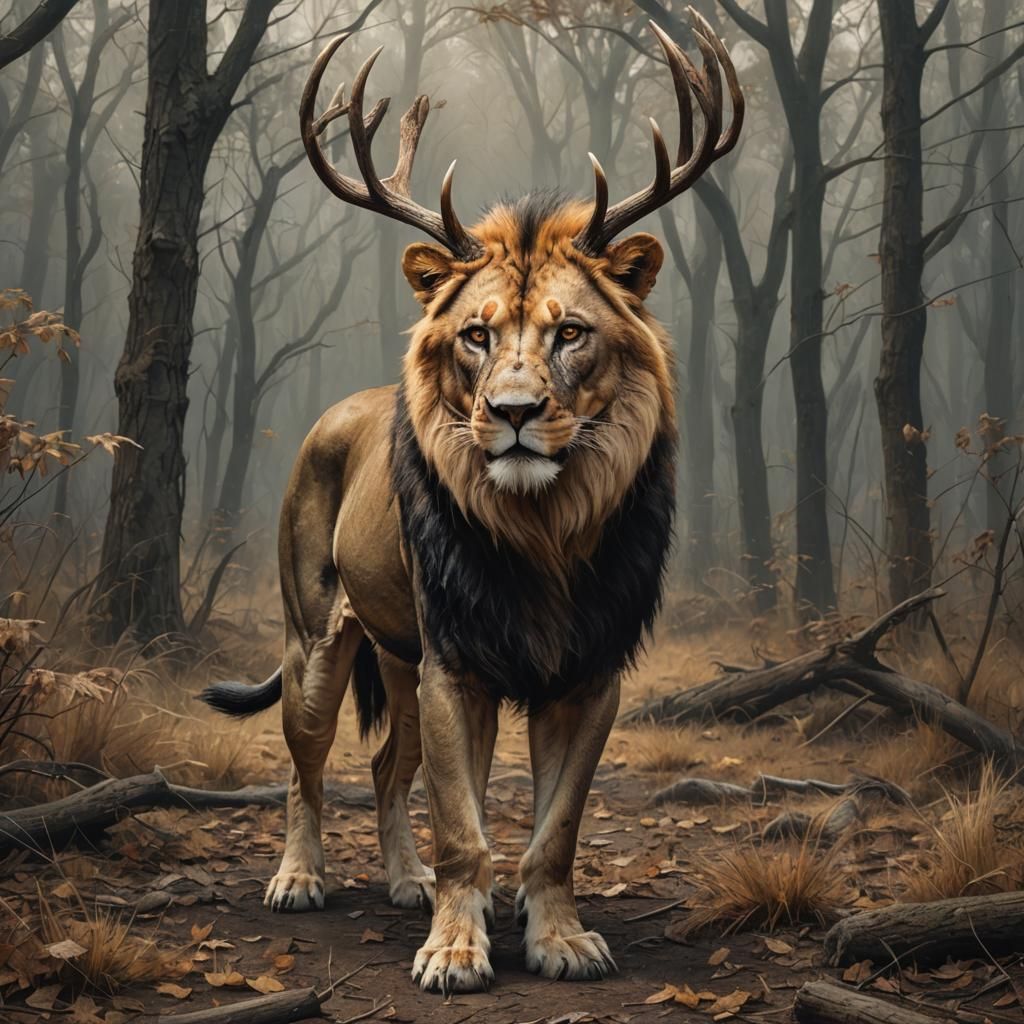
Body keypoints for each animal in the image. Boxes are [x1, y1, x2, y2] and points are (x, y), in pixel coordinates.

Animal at [201, 14, 742, 994]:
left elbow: (554, 829)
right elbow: (464, 825)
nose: (516, 413)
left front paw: (558, 937)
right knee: (304, 766)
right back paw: (300, 879)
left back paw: (404, 880)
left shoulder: (589, 672)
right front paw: (455, 949)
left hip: (399, 658)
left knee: (387, 765)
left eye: (572, 333)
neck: (544, 535)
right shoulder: (458, 665)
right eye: (476, 335)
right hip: (316, 644)